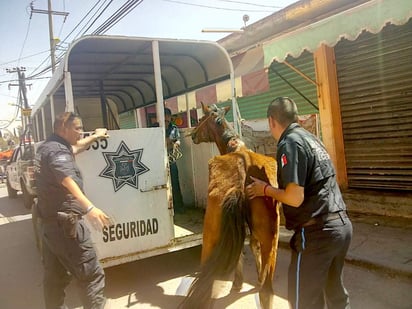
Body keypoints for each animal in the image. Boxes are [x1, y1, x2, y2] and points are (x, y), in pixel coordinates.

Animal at [182, 103, 282, 306]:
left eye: (200, 118)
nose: (193, 135)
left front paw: (238, 283)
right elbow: (252, 246)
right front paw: (258, 277)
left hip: (210, 235)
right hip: (271, 236)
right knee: (267, 292)